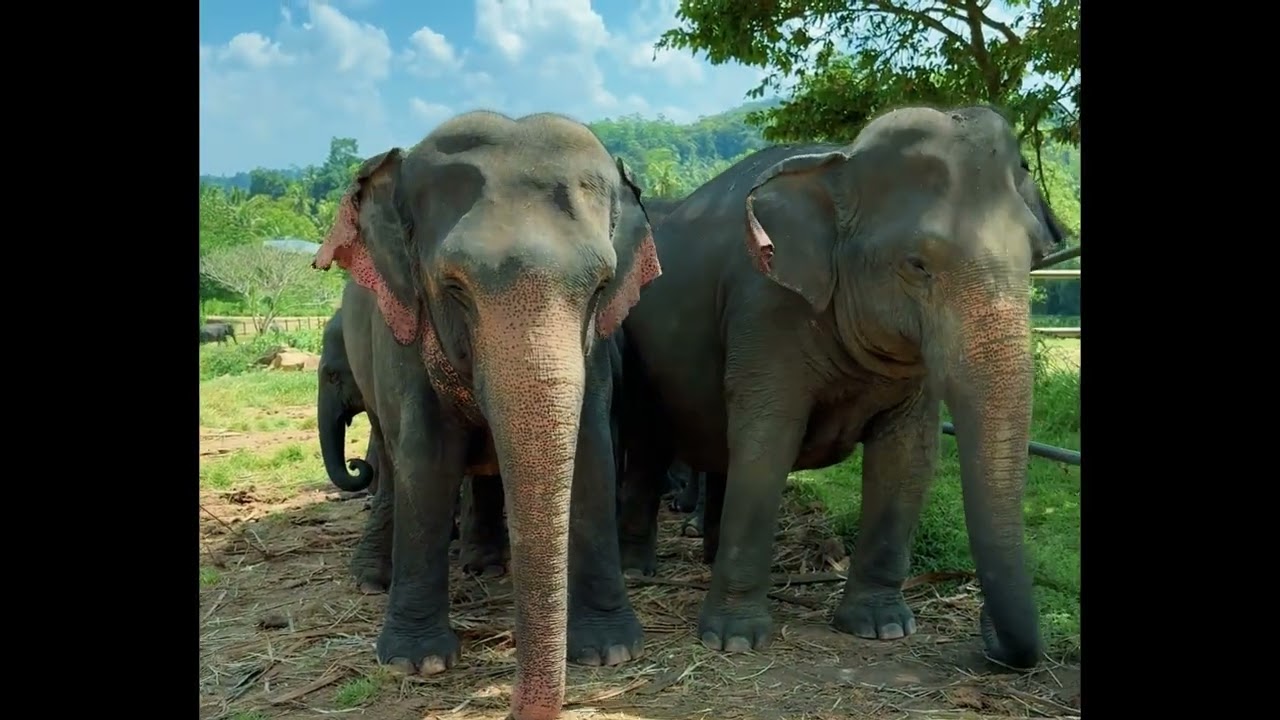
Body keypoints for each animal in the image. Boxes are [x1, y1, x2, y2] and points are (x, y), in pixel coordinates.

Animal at [310, 111, 661, 720]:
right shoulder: (403, 333)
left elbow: (592, 453)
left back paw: (485, 565)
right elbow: (426, 463)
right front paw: (416, 662)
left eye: (600, 288)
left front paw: (609, 650)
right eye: (453, 287)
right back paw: (373, 580)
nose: (516, 706)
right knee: (390, 463)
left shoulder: (599, 350)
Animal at [616, 105, 1067, 671]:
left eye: (1032, 255)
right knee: (646, 445)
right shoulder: (764, 304)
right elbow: (766, 442)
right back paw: (636, 570)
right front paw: (734, 640)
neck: (841, 160)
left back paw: (708, 555)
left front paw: (882, 627)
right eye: (917, 264)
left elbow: (907, 457)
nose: (989, 631)